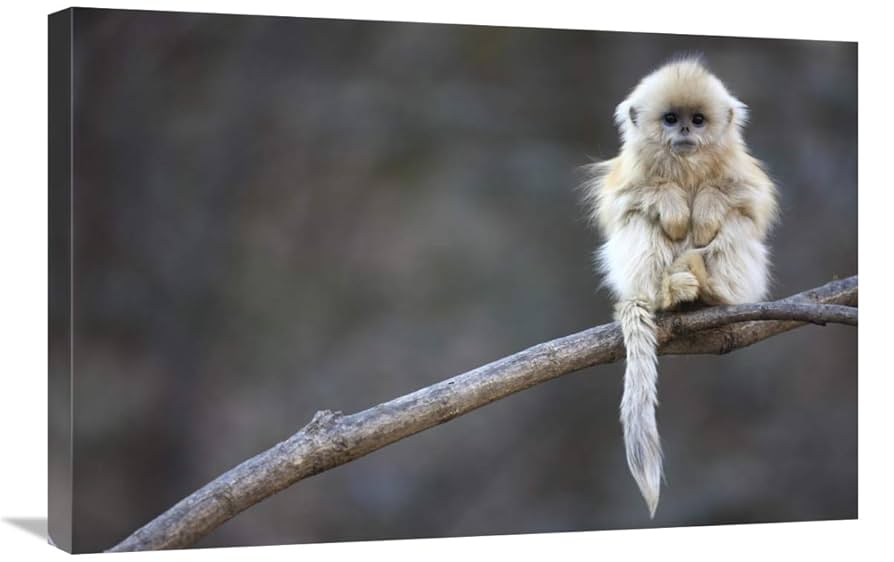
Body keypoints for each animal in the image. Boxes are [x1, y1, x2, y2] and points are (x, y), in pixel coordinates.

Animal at [581, 57, 779, 517]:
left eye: (698, 120)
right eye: (670, 119)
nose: (685, 130)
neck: (686, 166)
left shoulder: (741, 173)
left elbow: (749, 202)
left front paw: (704, 209)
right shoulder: (628, 176)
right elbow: (627, 202)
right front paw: (672, 204)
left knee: (735, 223)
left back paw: (708, 288)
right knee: (640, 220)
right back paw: (671, 293)